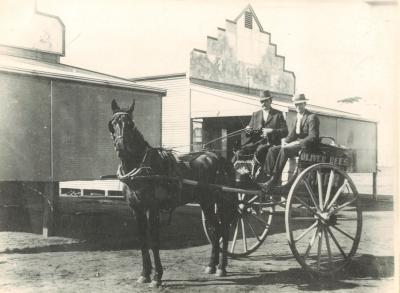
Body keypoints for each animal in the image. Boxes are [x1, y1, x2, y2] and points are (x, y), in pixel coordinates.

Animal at [108, 99, 236, 286]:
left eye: (131, 124)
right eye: (112, 124)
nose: (121, 146)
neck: (142, 167)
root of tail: (218, 157)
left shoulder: (152, 208)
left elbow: (154, 240)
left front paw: (157, 277)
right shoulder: (136, 209)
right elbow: (142, 240)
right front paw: (144, 274)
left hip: (220, 199)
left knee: (224, 230)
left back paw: (221, 268)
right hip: (205, 201)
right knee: (215, 229)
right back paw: (212, 266)